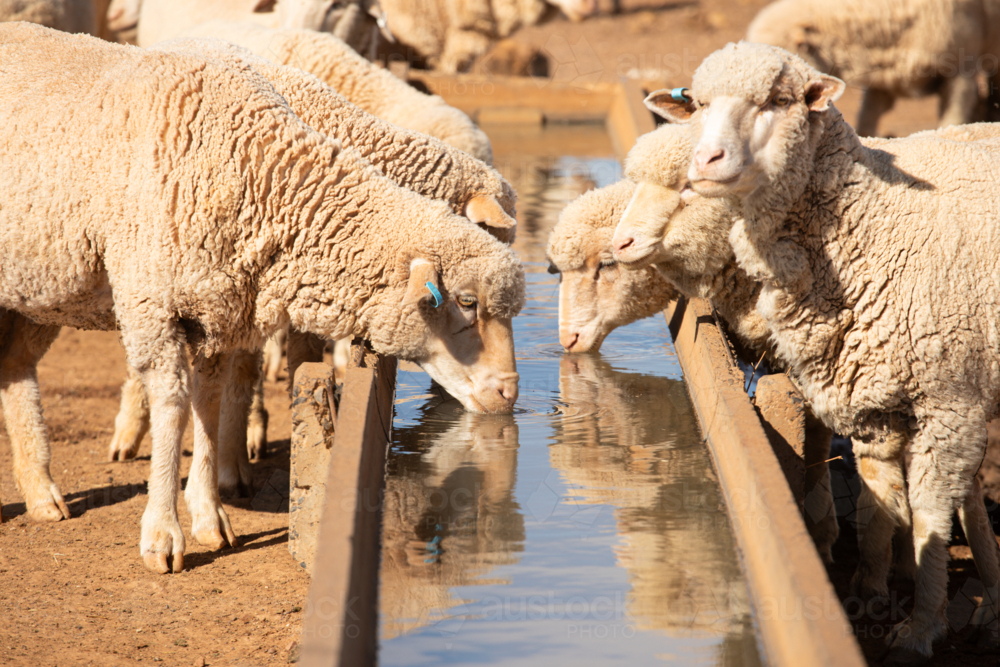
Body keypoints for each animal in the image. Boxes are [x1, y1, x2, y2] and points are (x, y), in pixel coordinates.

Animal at [651, 40, 1000, 663]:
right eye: (698, 104)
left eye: (775, 101)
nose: (705, 161)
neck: (877, 223)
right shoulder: (875, 401)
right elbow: (882, 499)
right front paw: (871, 590)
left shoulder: (951, 402)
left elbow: (929, 516)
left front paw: (920, 628)